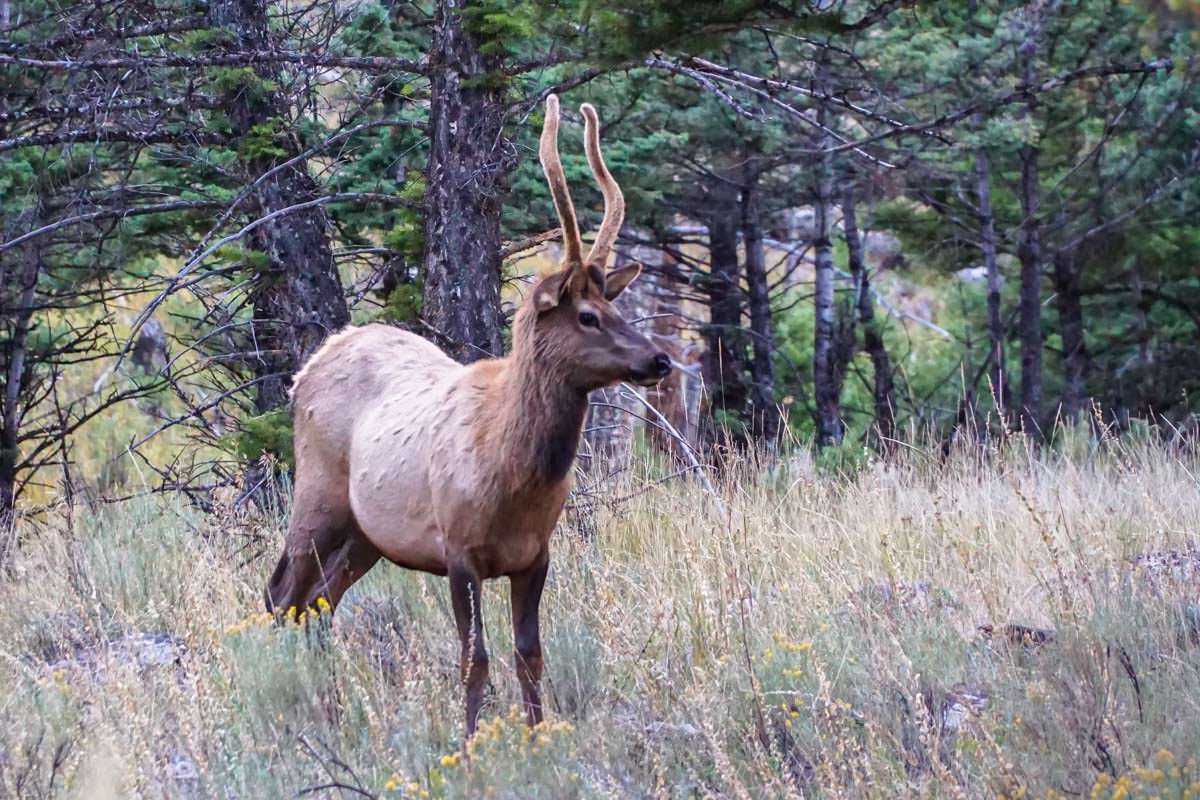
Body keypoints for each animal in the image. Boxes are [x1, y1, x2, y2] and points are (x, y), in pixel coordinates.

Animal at [264, 97, 672, 734]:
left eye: (617, 307)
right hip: (317, 494)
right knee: (282, 593)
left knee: (319, 601)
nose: (660, 359)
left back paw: (330, 702)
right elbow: (473, 657)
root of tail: (308, 366)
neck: (514, 475)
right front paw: (475, 739)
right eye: (586, 315)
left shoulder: (536, 554)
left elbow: (529, 653)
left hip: (367, 533)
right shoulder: (458, 549)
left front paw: (537, 735)